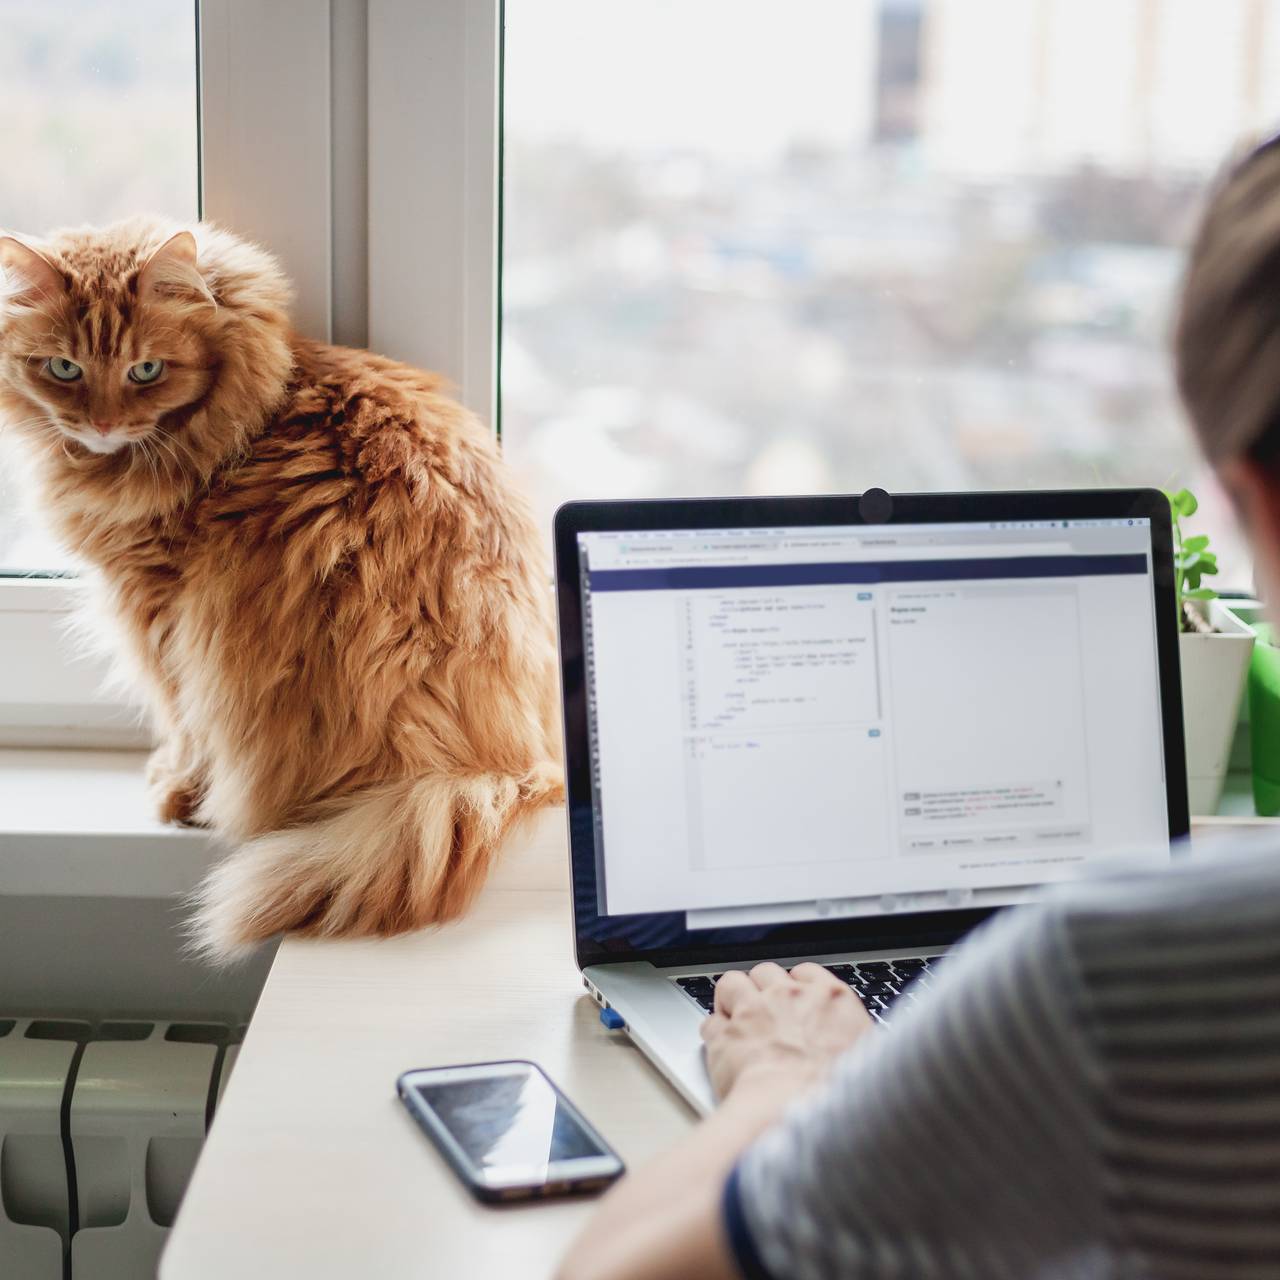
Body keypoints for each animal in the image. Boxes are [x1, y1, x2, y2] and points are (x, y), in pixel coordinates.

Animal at [0, 216, 563, 958]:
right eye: (64, 369)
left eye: (146, 370)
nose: (101, 425)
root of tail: (505, 768)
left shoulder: (159, 611)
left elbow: (180, 720)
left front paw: (175, 791)